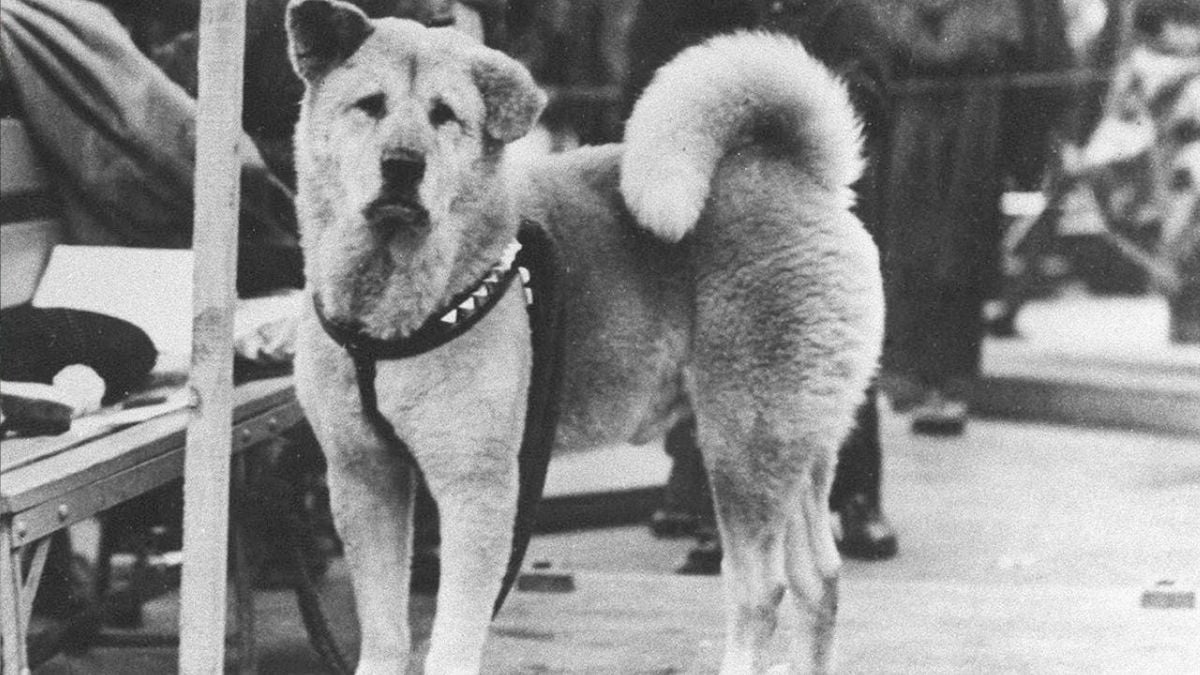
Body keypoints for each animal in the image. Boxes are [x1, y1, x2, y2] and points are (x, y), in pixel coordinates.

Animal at [280, 2, 883, 667]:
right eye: (370, 104)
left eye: (445, 115)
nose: (404, 165)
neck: (392, 304)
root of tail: (799, 176)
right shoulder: (364, 477)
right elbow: (385, 630)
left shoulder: (477, 488)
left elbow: (453, 636)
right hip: (794, 446)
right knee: (818, 579)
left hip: (742, 444)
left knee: (762, 589)